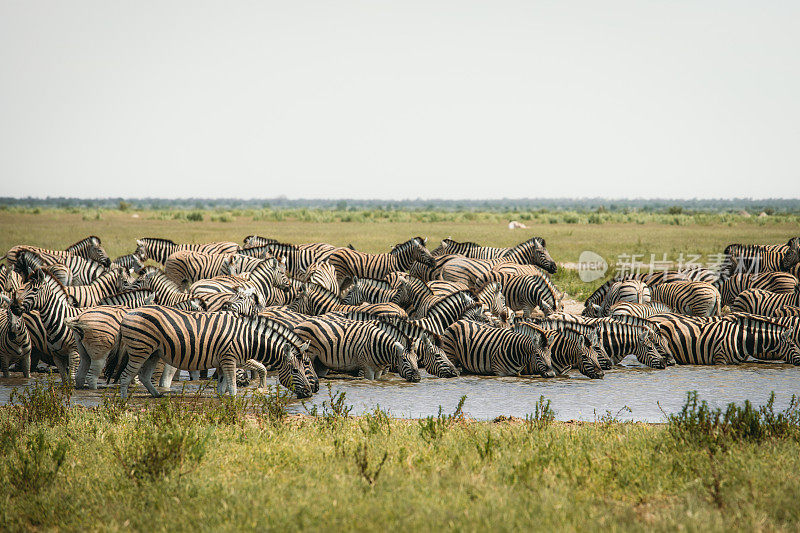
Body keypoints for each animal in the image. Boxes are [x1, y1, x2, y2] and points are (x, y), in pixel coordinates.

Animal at [117, 306, 314, 396]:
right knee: (126, 376)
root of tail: (128, 313)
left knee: (143, 376)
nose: (310, 393)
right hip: (140, 350)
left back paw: (158, 396)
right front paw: (234, 404)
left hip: (154, 353)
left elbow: (222, 387)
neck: (247, 338)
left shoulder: (222, 362)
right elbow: (232, 387)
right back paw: (123, 401)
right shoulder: (229, 359)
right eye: (295, 370)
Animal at [290, 314, 422, 380]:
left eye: (416, 359)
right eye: (404, 360)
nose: (417, 378)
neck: (378, 345)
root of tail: (300, 324)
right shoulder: (367, 368)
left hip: (320, 361)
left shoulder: (378, 370)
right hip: (310, 355)